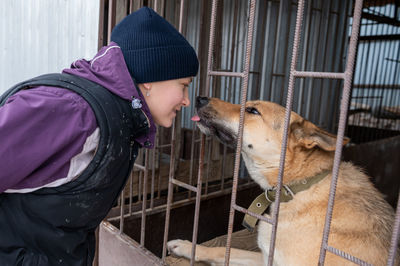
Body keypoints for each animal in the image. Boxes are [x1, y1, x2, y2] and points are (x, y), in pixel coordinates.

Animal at [167, 96, 398, 264]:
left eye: (252, 111)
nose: (199, 98)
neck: (298, 187)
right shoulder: (266, 256)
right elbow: (224, 249)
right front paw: (188, 246)